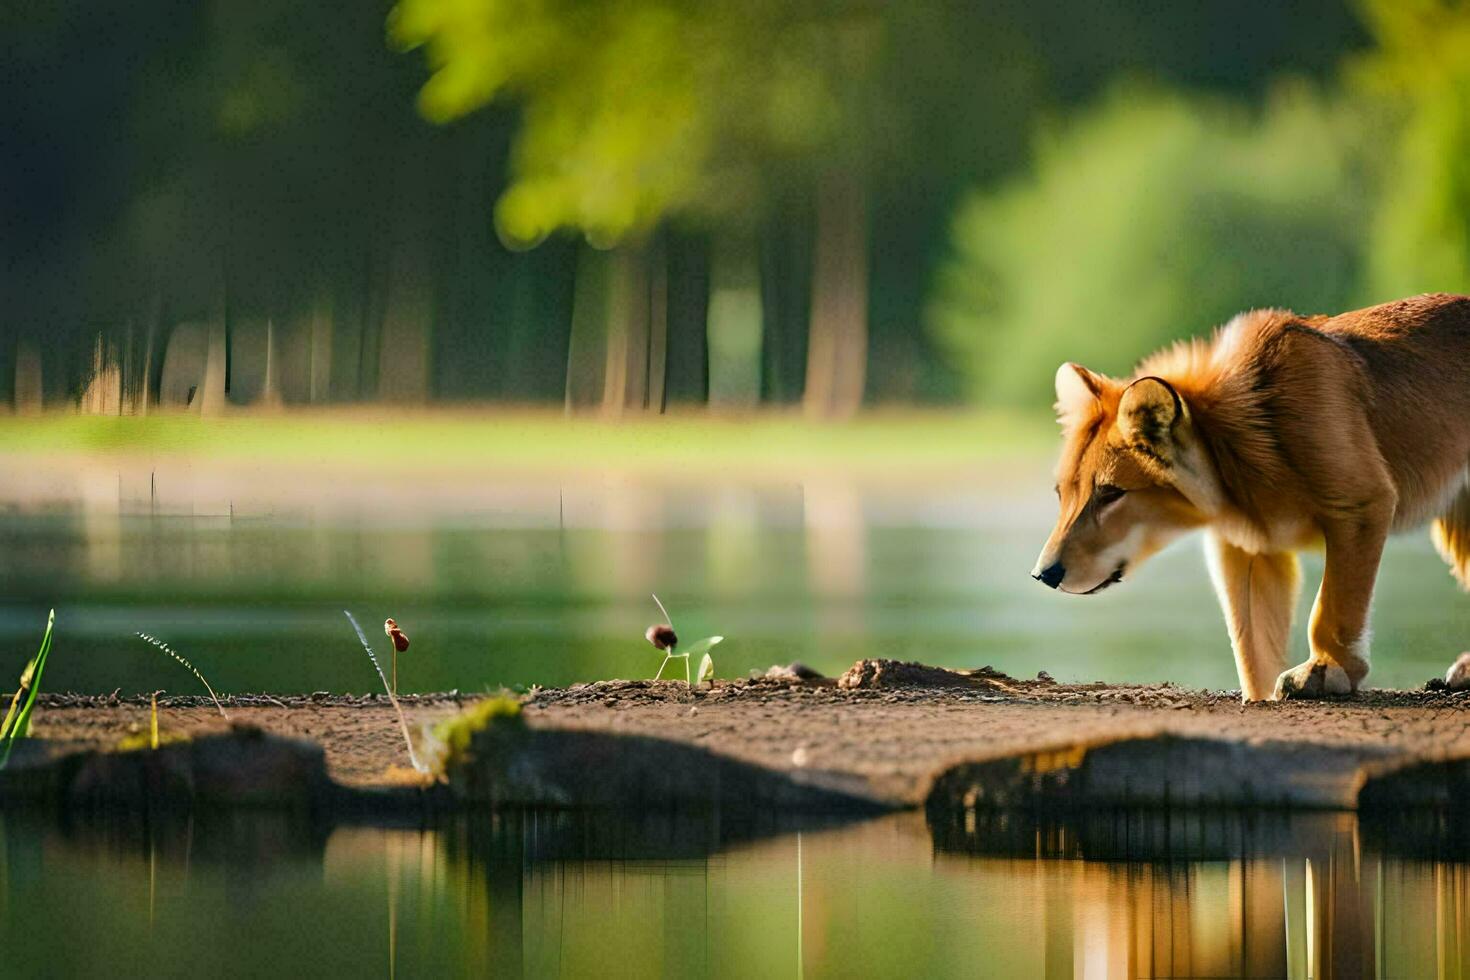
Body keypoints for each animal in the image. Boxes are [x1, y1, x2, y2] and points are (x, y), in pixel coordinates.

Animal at [1034, 295, 1470, 702]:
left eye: (1110, 494)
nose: (1043, 574)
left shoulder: (1362, 505)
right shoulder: (1247, 551)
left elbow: (1332, 606)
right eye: (1062, 493)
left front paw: (1326, 669)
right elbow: (1251, 648)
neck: (1243, 436)